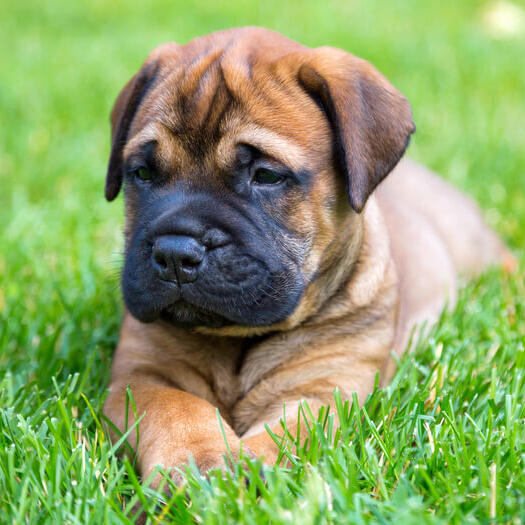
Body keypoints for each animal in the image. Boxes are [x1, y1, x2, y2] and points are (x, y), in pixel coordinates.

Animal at [102, 24, 512, 484]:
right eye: (142, 173)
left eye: (265, 175)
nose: (175, 253)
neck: (237, 340)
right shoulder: (141, 374)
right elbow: (174, 407)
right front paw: (199, 462)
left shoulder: (329, 385)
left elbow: (293, 431)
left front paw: (252, 469)